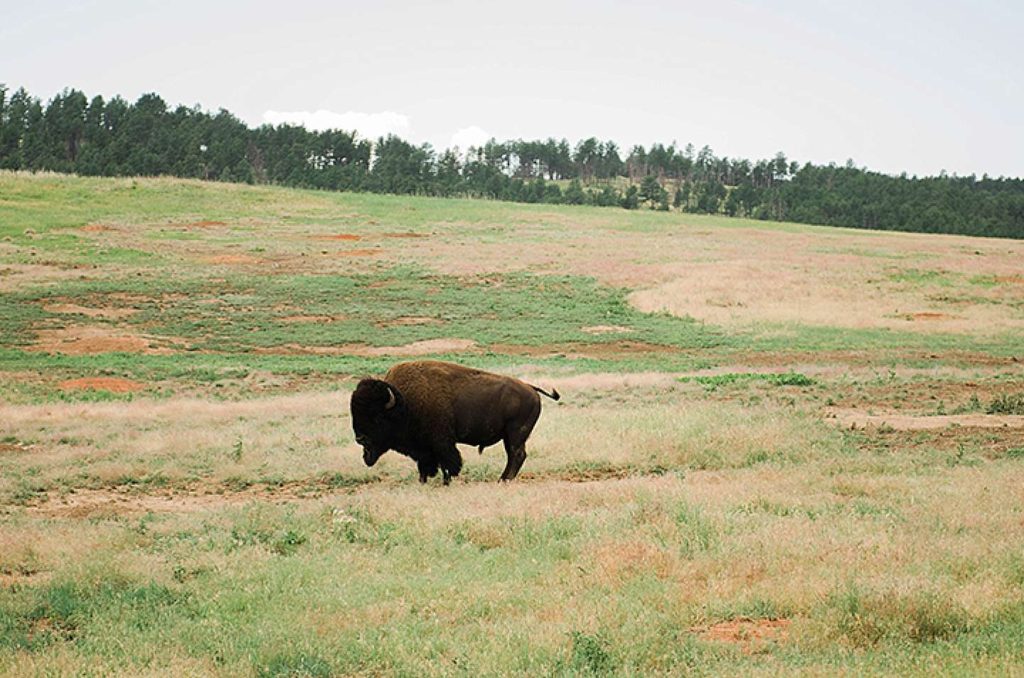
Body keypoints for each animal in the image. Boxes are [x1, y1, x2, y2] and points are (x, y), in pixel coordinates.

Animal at [350, 360, 561, 483]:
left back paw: (503, 480)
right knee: (514, 456)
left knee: (517, 455)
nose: (360, 438)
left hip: (516, 434)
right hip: (509, 437)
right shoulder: (425, 449)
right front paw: (423, 481)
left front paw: (446, 481)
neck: (404, 403)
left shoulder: (442, 442)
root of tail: (531, 389)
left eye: (377, 417)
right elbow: (425, 465)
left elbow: (449, 462)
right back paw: (502, 479)